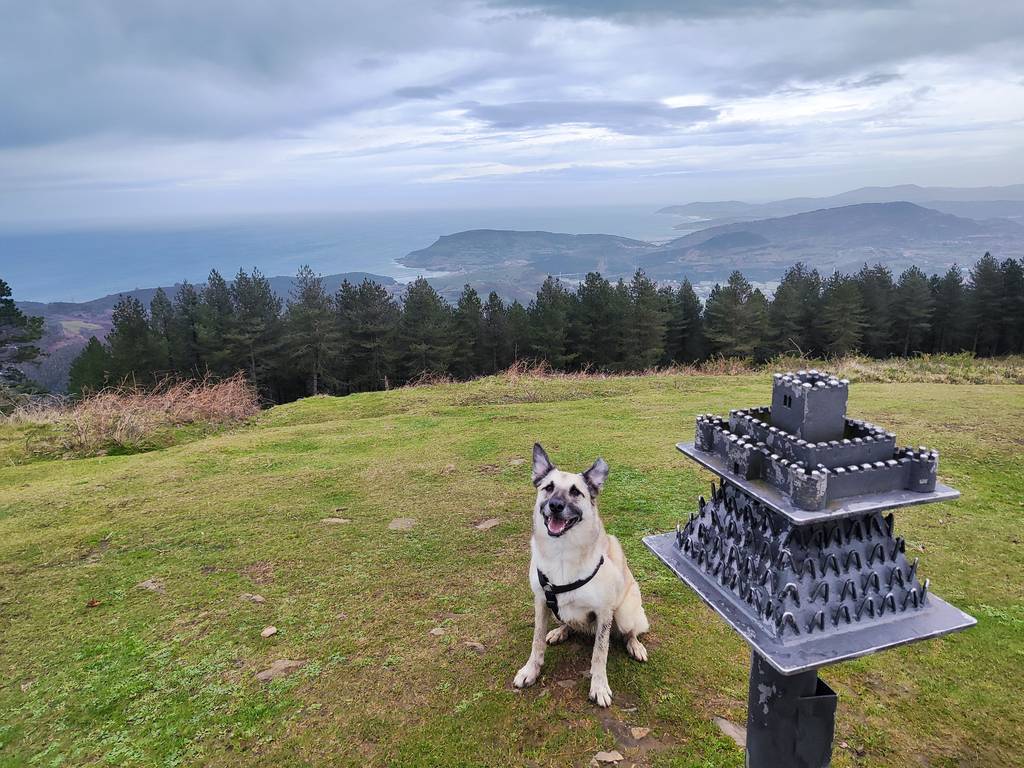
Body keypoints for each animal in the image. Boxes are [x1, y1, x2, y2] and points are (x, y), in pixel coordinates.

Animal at [513, 443, 649, 707]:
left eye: (576, 492)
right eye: (548, 488)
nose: (555, 505)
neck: (562, 552)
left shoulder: (605, 612)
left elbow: (600, 653)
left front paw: (599, 686)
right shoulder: (541, 601)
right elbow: (536, 640)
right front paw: (530, 670)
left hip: (625, 613)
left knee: (630, 632)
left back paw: (635, 646)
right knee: (568, 622)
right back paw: (560, 631)